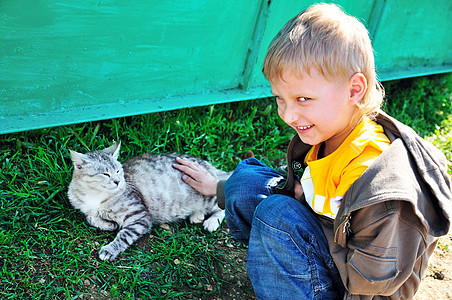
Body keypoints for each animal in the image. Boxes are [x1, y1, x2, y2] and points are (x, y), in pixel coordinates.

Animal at [67, 142, 230, 262]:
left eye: (118, 171)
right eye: (105, 174)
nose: (118, 181)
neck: (94, 196)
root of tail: (208, 166)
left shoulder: (140, 216)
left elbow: (124, 235)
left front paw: (110, 249)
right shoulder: (85, 208)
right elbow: (90, 217)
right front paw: (108, 224)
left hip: (206, 193)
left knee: (223, 203)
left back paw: (211, 222)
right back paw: (197, 215)